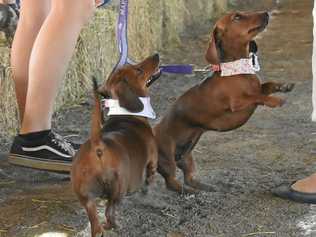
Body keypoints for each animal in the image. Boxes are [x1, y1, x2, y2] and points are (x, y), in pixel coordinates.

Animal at [72, 53, 160, 237]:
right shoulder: (152, 161)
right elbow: (149, 181)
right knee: (109, 212)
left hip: (86, 198)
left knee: (95, 221)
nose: (156, 55)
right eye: (138, 70)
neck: (125, 114)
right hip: (118, 190)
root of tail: (98, 145)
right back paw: (114, 226)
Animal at [154, 10, 296, 193]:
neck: (237, 69)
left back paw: (205, 187)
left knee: (188, 178)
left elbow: (267, 86)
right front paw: (275, 100)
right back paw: (188, 193)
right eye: (237, 17)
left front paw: (283, 86)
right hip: (167, 158)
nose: (266, 13)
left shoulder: (258, 88)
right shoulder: (238, 102)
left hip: (186, 156)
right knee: (171, 182)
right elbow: (256, 97)